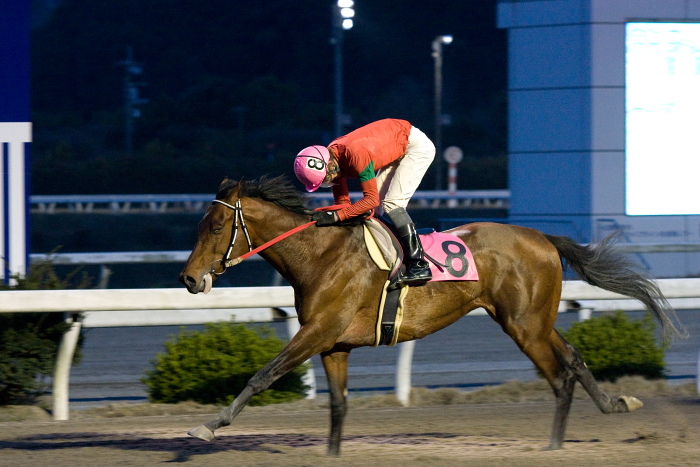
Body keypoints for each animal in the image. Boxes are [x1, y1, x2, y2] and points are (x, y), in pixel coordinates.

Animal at [176, 176, 684, 458]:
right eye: (199, 225)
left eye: (216, 226)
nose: (189, 279)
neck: (319, 255)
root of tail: (543, 238)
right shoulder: (334, 343)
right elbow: (338, 404)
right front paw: (332, 453)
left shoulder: (316, 332)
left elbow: (263, 375)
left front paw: (208, 426)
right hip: (533, 320)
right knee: (575, 358)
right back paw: (617, 403)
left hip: (525, 326)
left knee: (560, 377)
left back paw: (555, 447)